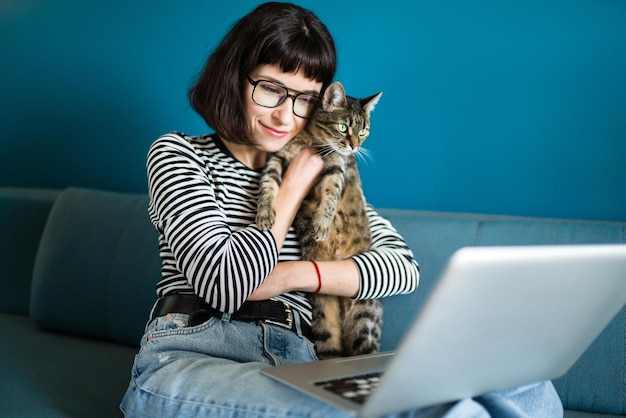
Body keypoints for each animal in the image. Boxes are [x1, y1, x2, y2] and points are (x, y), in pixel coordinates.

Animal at [256, 81, 382, 360]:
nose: (354, 146)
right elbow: (267, 184)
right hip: (324, 319)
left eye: (363, 131)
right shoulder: (278, 158)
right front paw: (264, 212)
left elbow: (332, 194)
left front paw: (322, 224)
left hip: (364, 315)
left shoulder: (336, 164)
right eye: (343, 127)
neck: (313, 141)